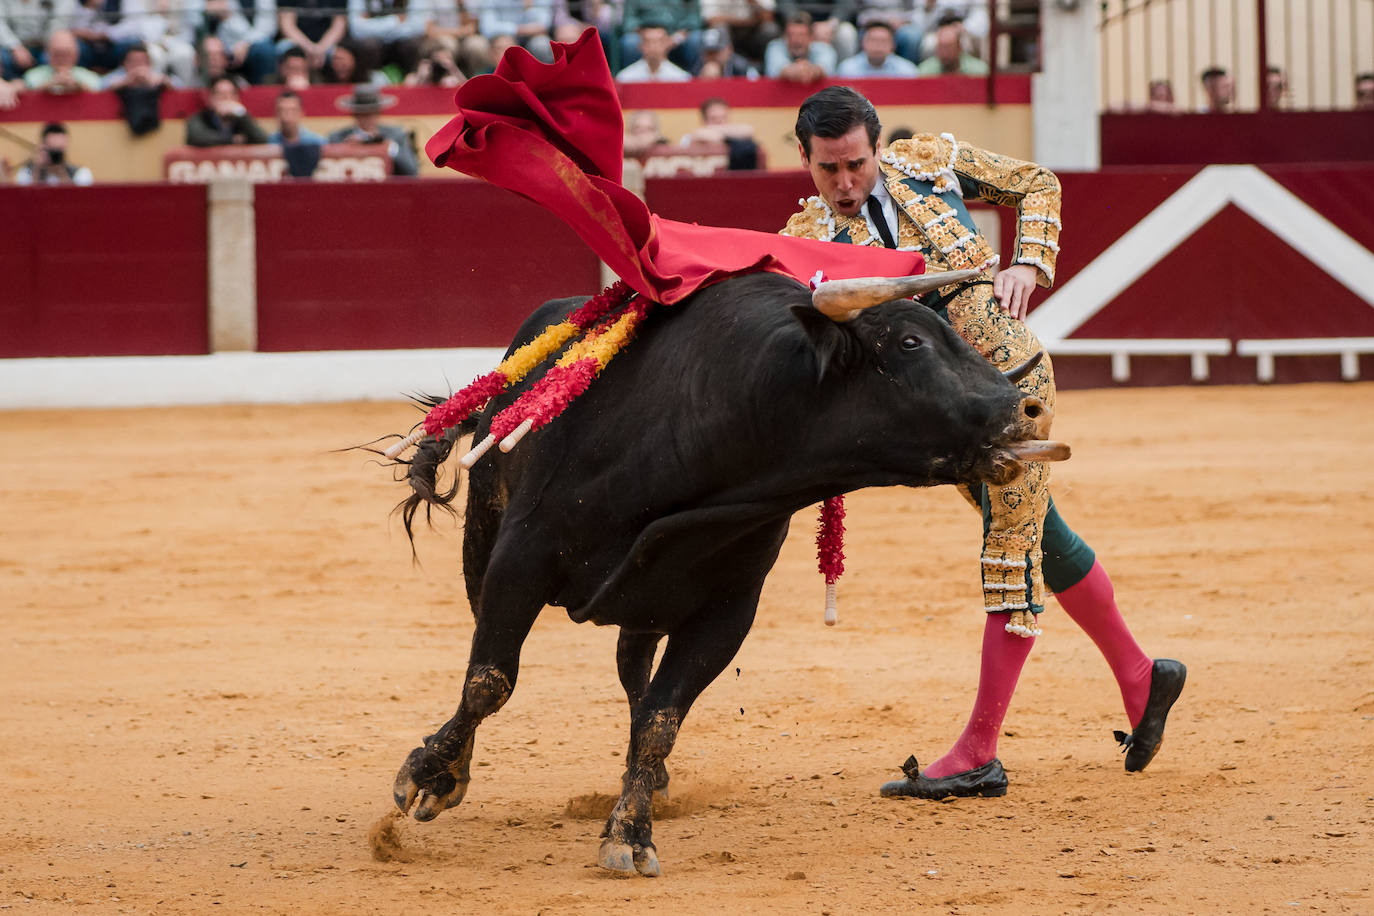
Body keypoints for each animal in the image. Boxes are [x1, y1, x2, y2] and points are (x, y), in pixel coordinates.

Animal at [392, 269, 1055, 878]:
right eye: (911, 343)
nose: (1028, 410)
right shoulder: (521, 557)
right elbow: (488, 681)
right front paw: (430, 775)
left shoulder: (727, 610)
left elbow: (661, 718)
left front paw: (630, 833)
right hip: (485, 535)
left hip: (645, 602)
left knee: (633, 673)